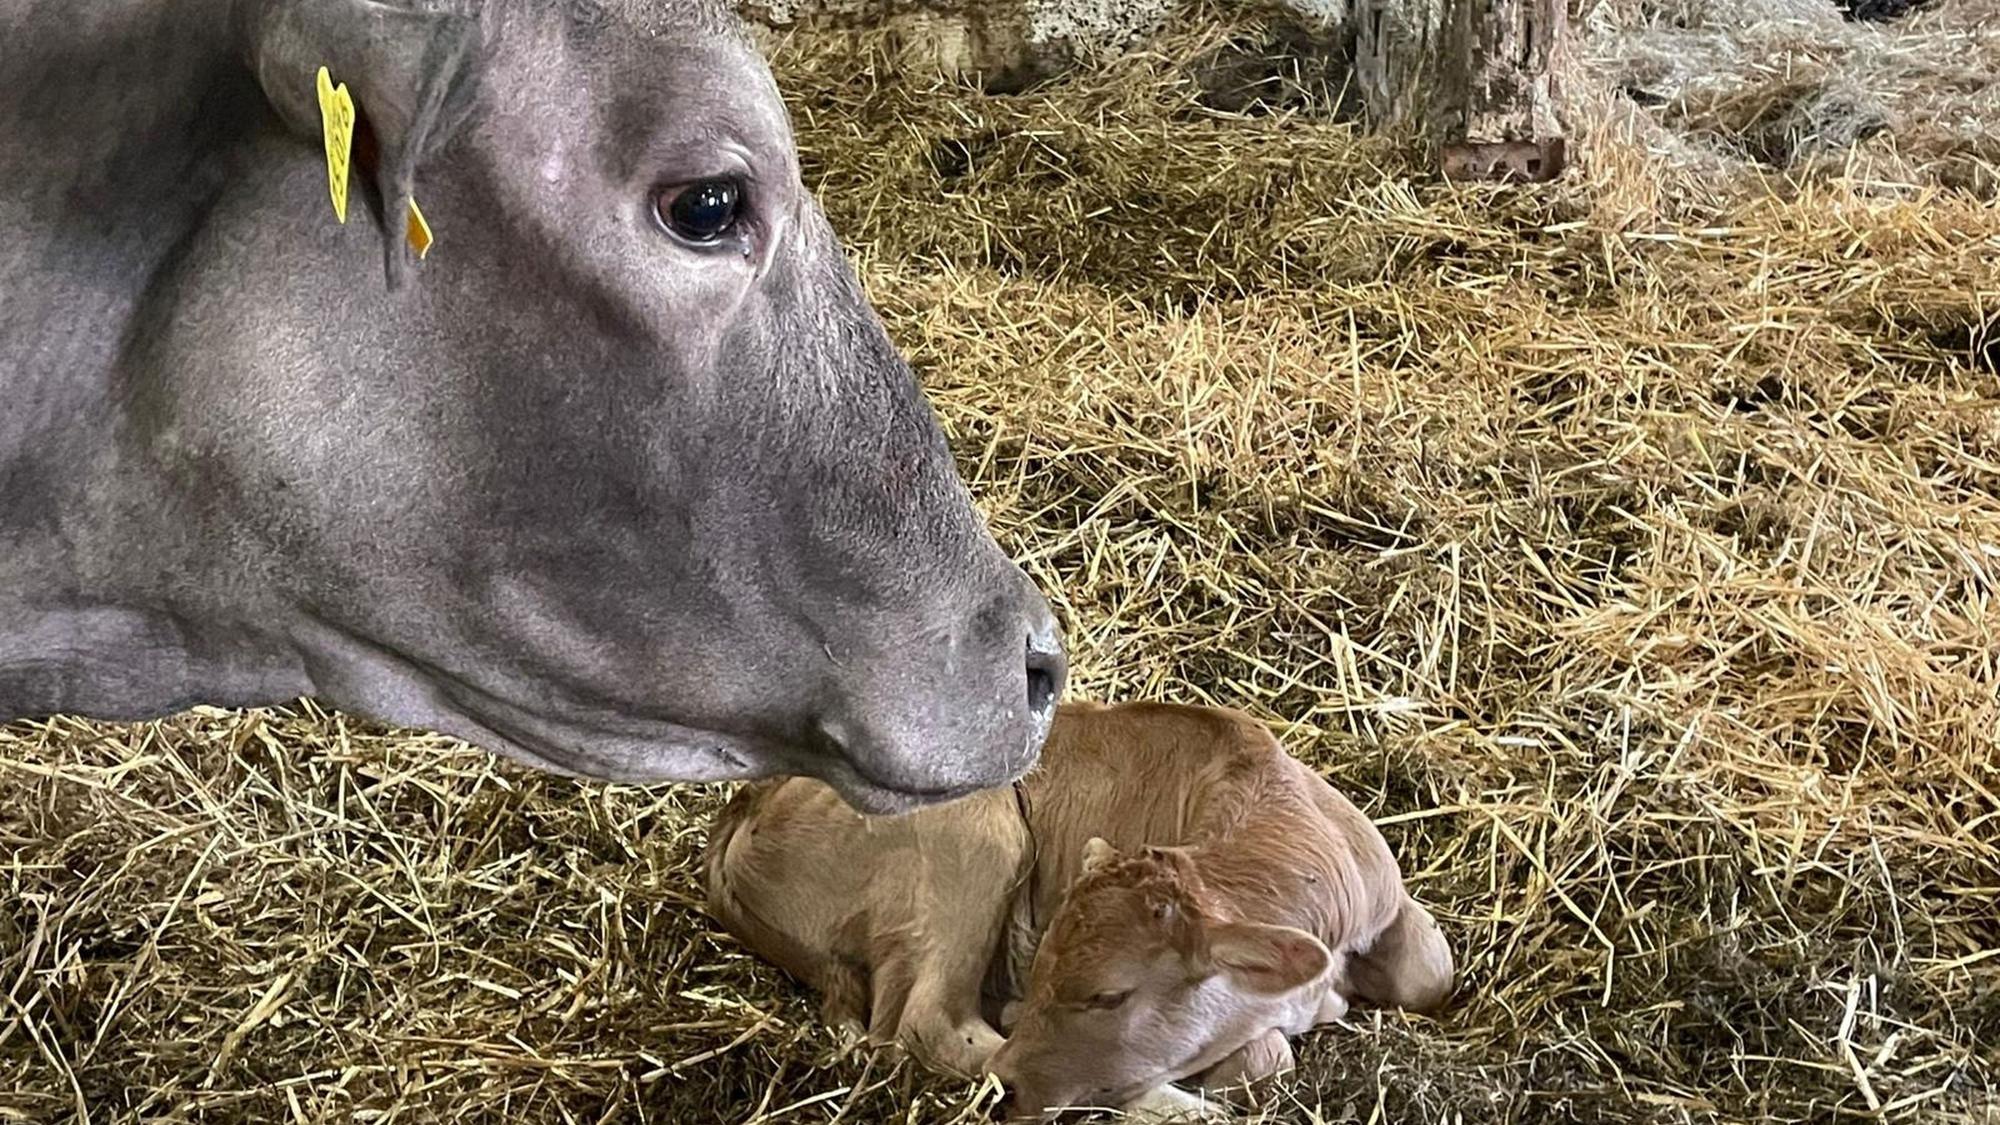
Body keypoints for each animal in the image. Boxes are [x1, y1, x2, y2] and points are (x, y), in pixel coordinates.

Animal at [704, 700, 1454, 1120]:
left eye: (1108, 995)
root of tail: (748, 802)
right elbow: (1269, 1055)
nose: (1010, 1088)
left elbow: (1432, 972)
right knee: (923, 1022)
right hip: (979, 832)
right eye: (1043, 973)